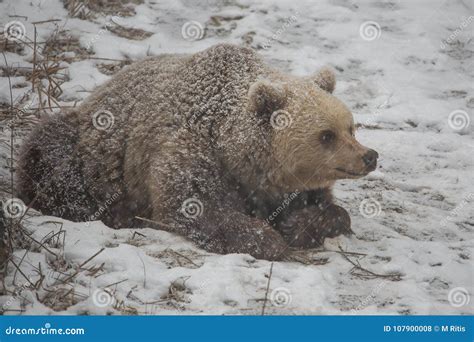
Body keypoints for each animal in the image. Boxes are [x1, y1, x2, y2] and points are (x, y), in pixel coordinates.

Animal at [17, 44, 378, 260]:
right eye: (326, 135)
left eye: (350, 127)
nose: (369, 156)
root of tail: (96, 93)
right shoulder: (192, 151)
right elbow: (195, 206)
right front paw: (267, 239)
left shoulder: (286, 185)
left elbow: (327, 208)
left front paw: (300, 224)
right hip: (85, 151)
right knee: (50, 160)